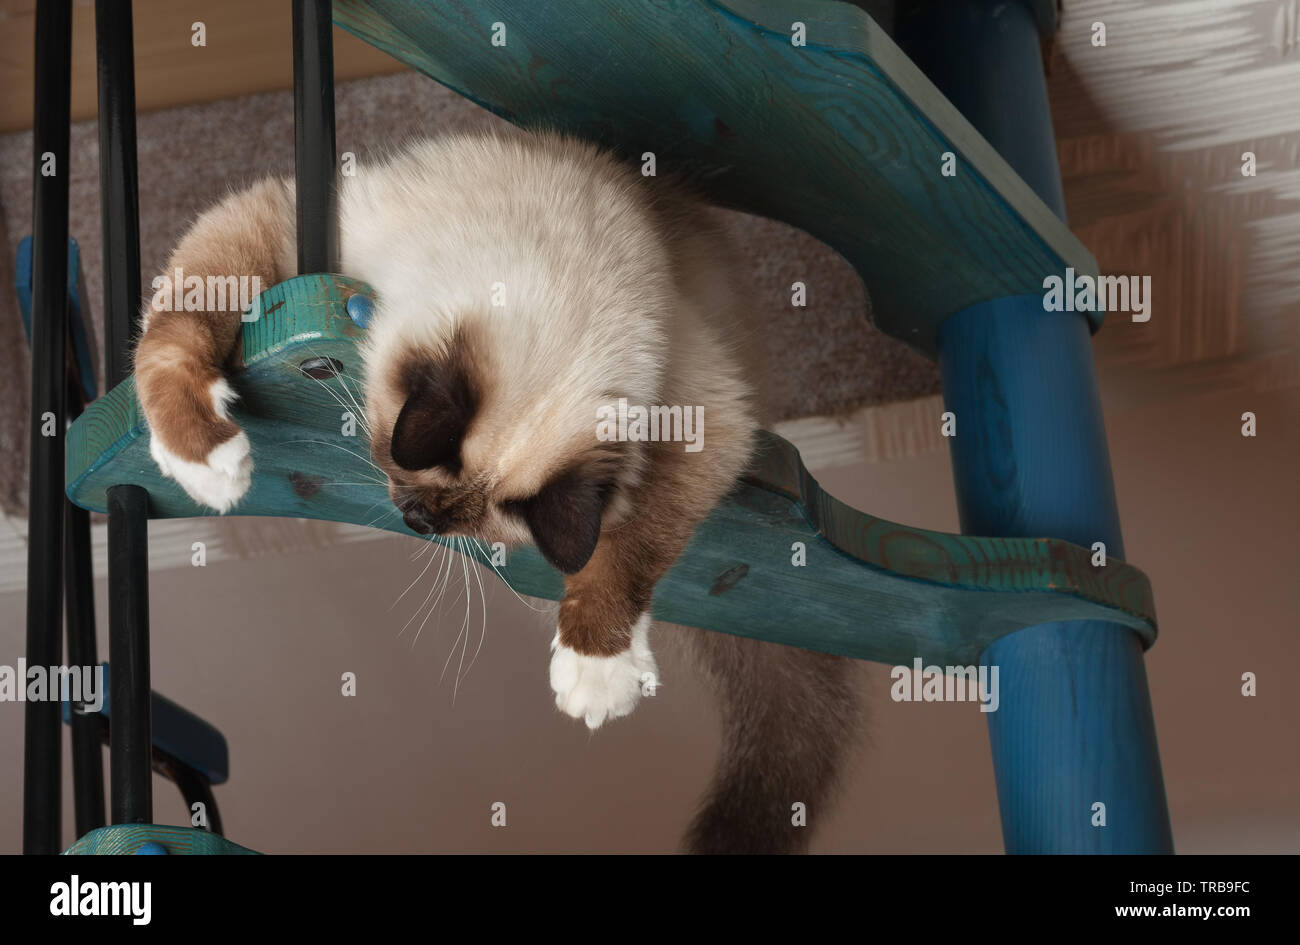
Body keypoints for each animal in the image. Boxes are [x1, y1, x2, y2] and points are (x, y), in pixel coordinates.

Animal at [134, 131, 863, 852]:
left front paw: (595, 669)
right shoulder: (282, 219)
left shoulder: (707, 418)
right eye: (401, 480)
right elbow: (182, 326)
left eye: (452, 525)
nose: (415, 519)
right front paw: (204, 457)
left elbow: (628, 547)